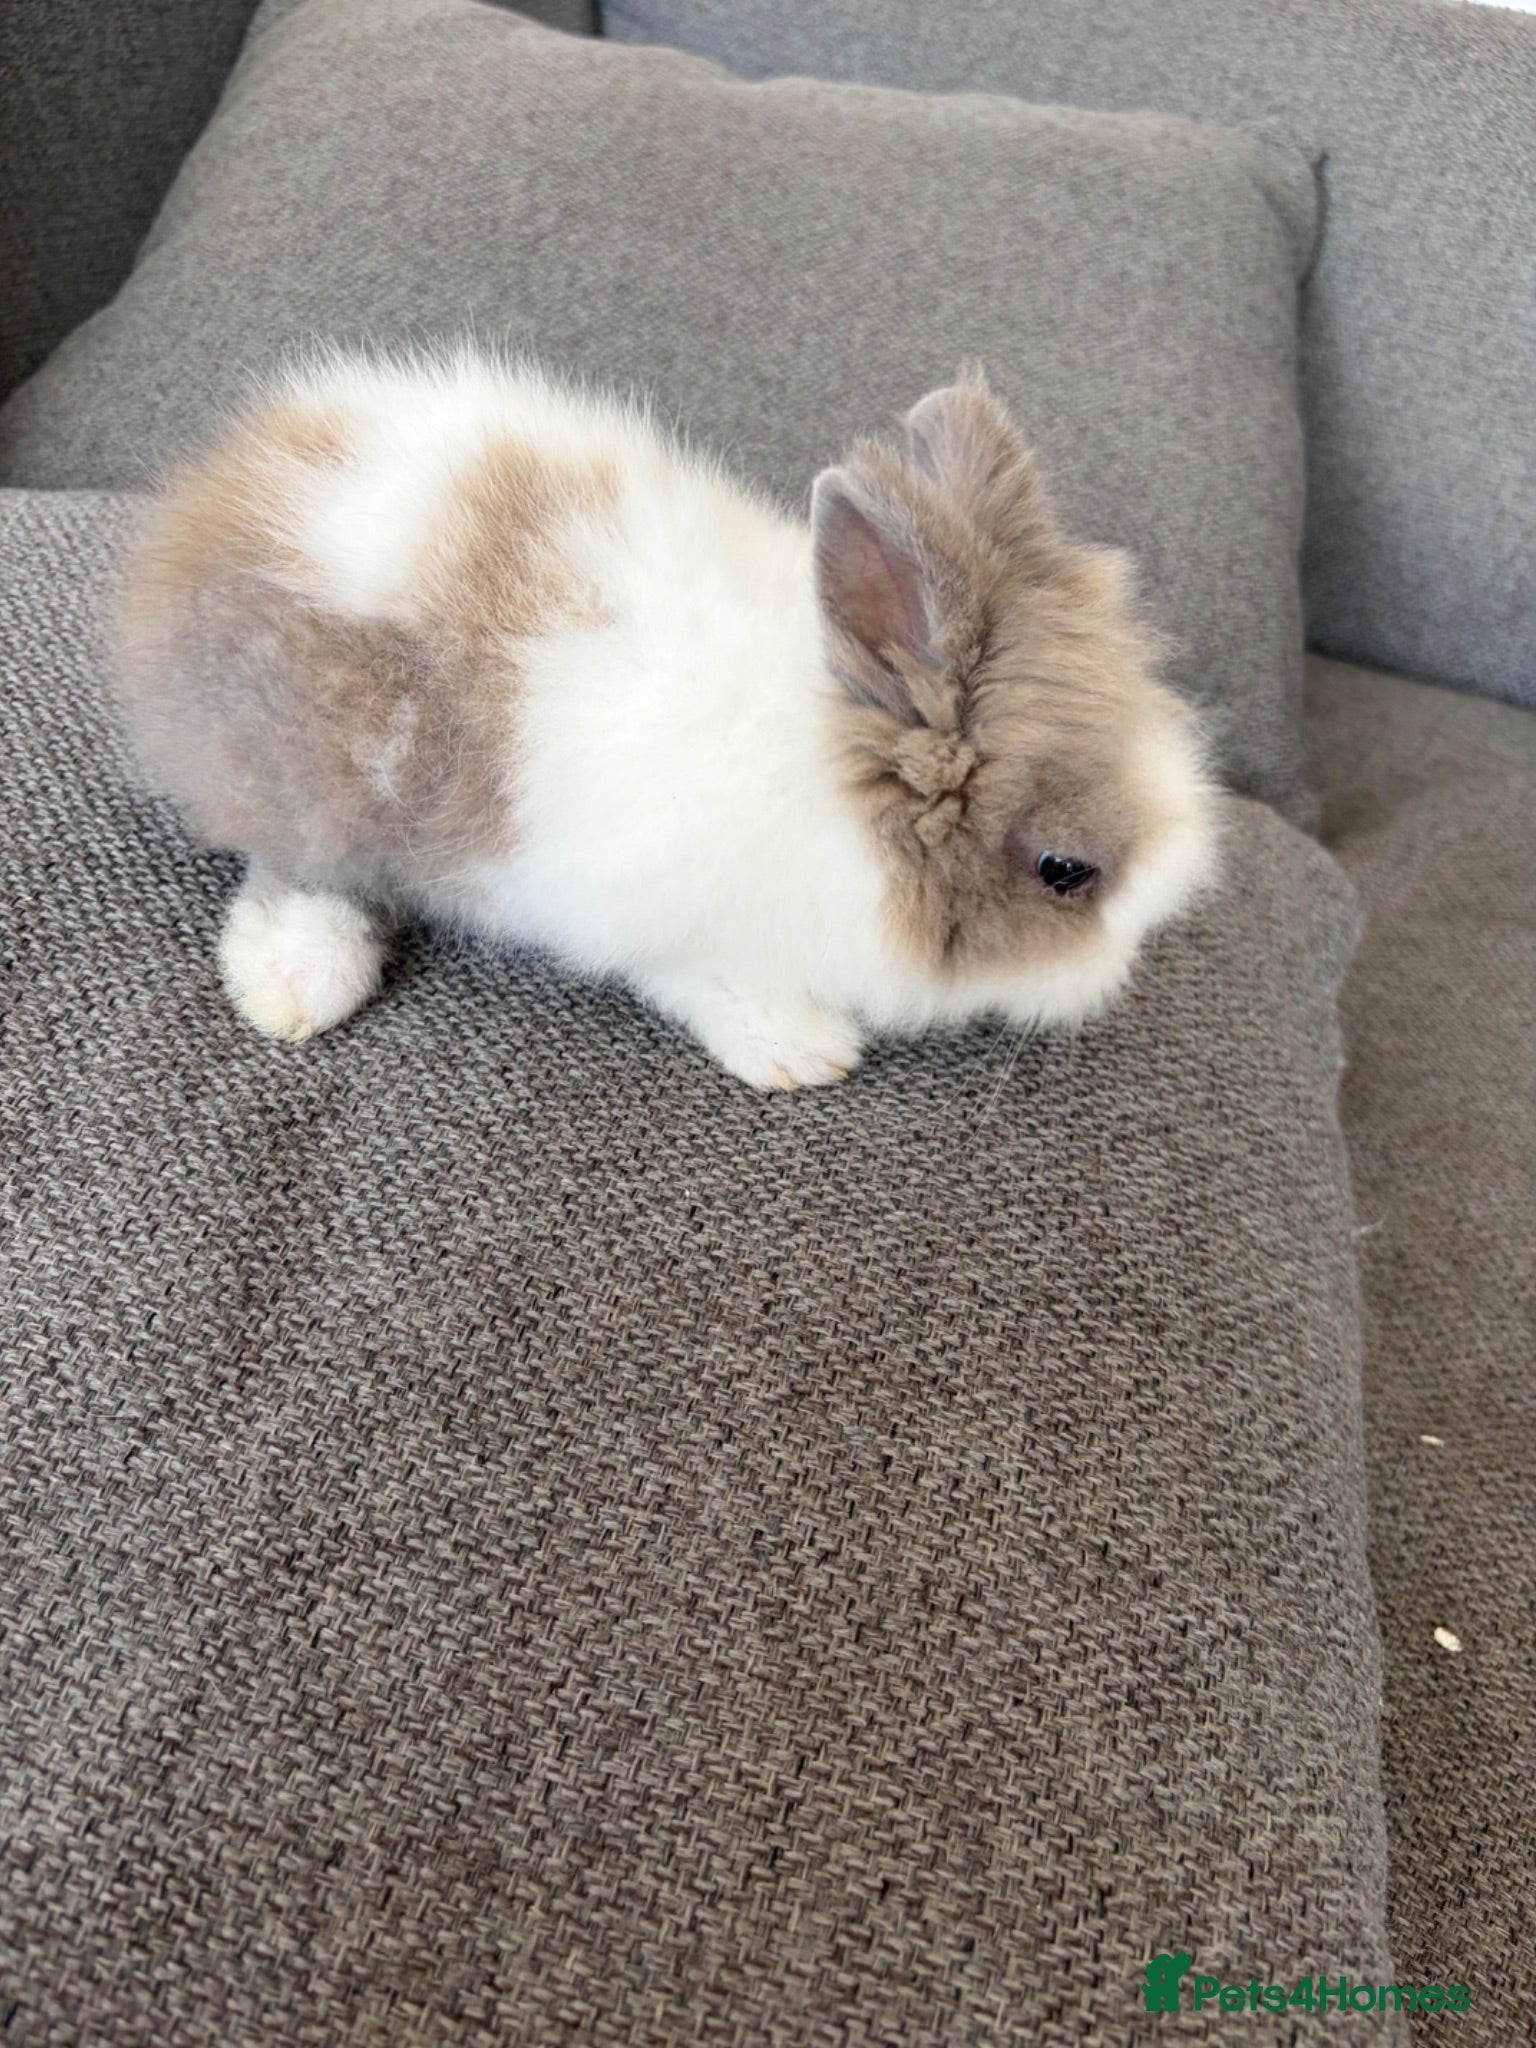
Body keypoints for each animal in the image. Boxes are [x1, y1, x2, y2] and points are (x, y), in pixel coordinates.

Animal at [116, 351, 1216, 1090]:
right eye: (1066, 871)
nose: (1136, 949)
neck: (839, 786)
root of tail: (199, 512)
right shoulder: (665, 918)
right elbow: (709, 982)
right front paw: (801, 1050)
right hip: (318, 776)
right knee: (294, 872)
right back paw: (301, 985)